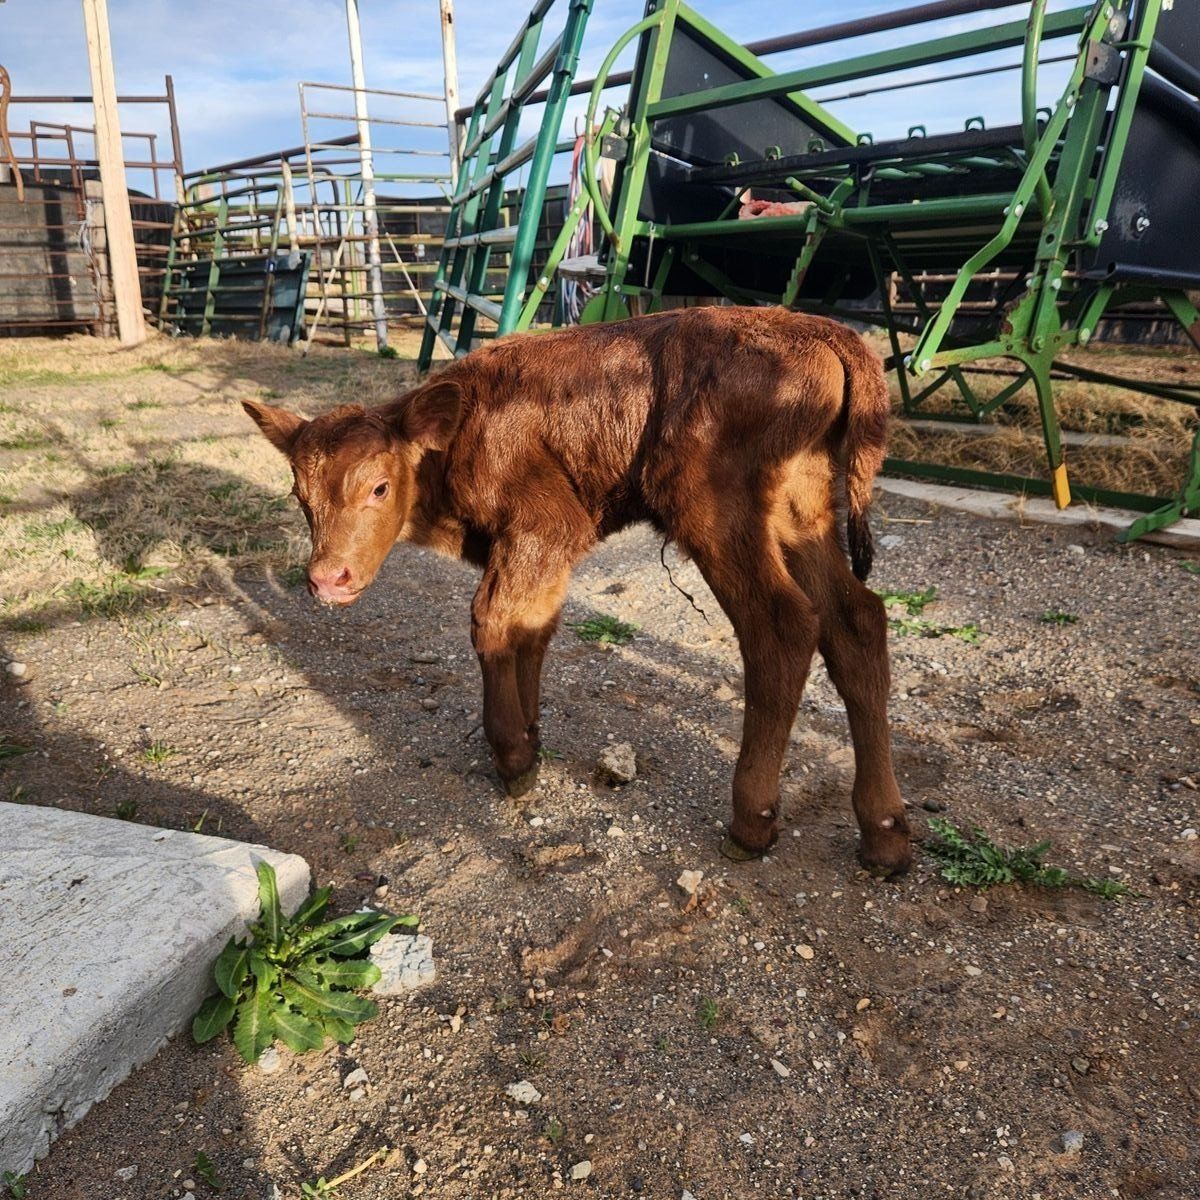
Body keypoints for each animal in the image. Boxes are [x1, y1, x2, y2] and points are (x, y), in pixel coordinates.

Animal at [243, 306, 912, 874]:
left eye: (379, 487)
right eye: (300, 495)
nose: (327, 579)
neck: (461, 434)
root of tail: (820, 332)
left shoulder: (543, 526)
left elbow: (491, 619)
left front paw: (513, 757)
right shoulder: (542, 551)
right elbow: (533, 627)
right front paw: (531, 741)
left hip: (717, 511)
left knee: (781, 626)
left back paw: (752, 823)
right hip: (801, 511)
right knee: (855, 620)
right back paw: (884, 836)